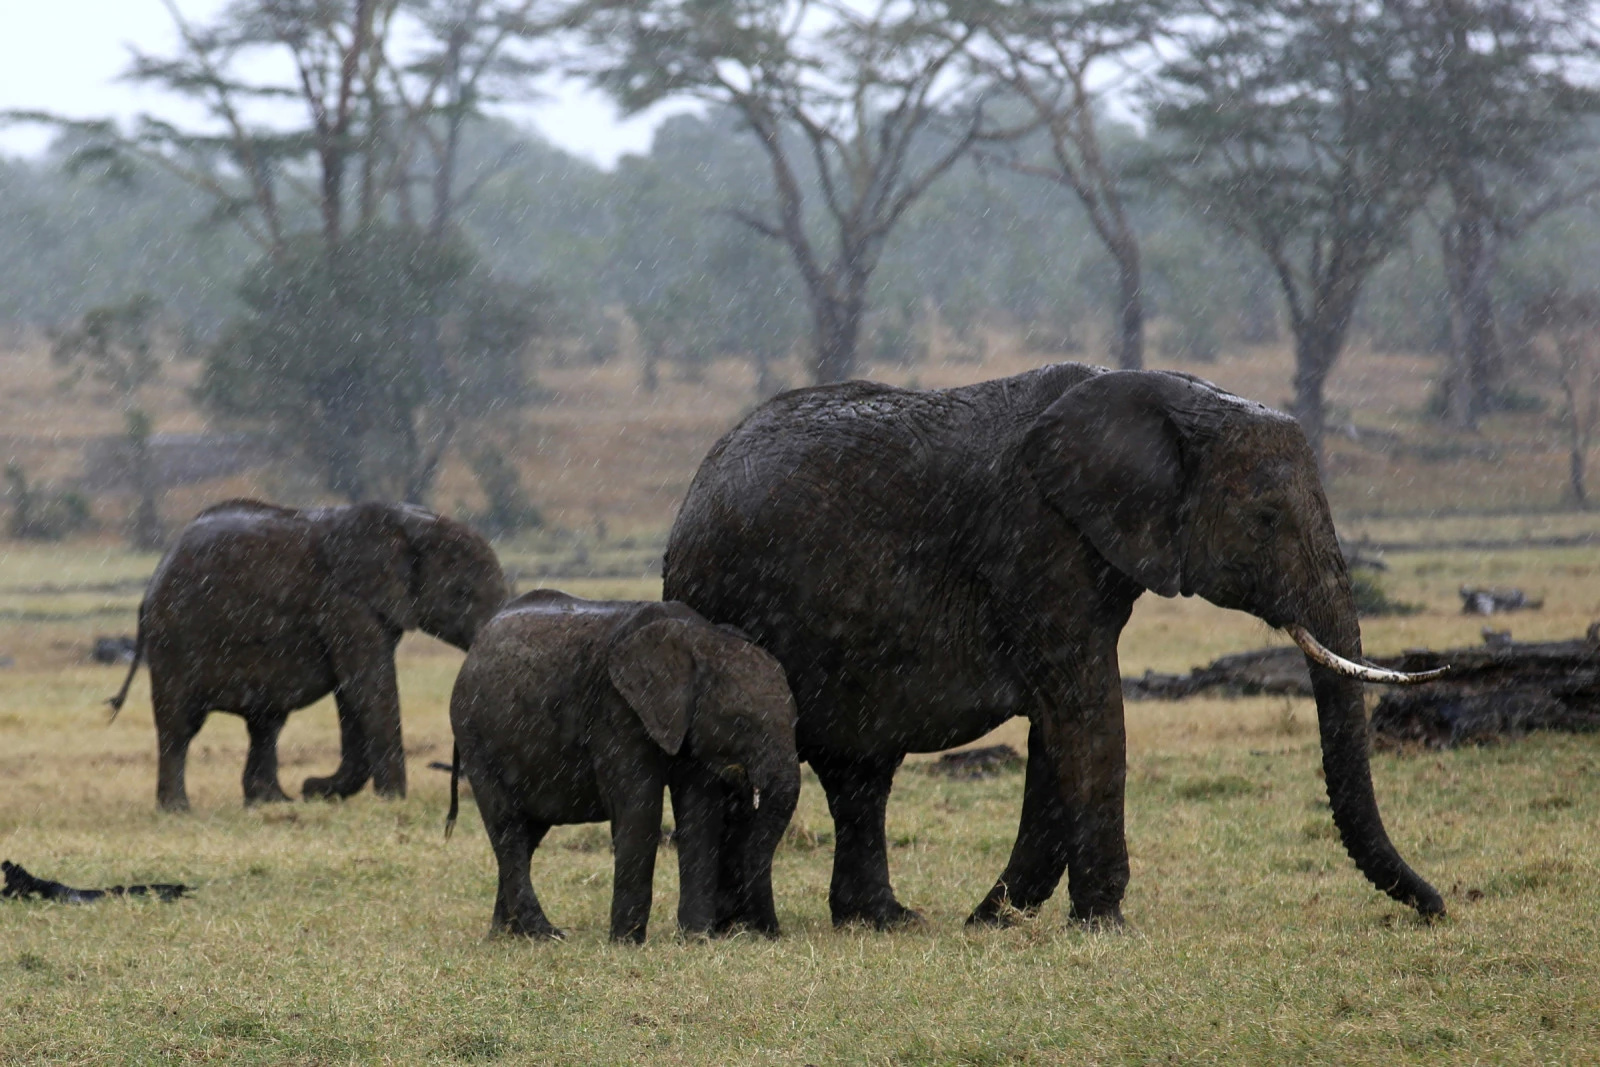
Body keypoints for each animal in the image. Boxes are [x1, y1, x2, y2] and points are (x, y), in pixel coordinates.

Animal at [109, 502, 505, 809]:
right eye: (461, 593)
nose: (310, 786)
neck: (409, 520)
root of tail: (151, 584)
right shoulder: (345, 604)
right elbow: (368, 686)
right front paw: (390, 800)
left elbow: (353, 692)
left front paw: (319, 790)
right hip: (173, 642)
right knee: (180, 725)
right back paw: (179, 809)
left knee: (266, 723)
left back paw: (273, 802)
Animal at [448, 591, 800, 940]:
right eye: (741, 722)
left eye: (795, 721)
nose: (772, 933)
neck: (699, 637)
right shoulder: (616, 709)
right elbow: (640, 807)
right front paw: (627, 942)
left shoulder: (690, 728)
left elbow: (700, 812)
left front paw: (696, 939)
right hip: (474, 736)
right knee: (506, 826)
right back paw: (546, 935)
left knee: (528, 834)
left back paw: (507, 935)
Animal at [662, 364, 1452, 927]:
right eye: (1263, 518)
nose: (1440, 907)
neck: (1162, 394)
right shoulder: (1035, 544)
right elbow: (1087, 712)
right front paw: (1102, 924)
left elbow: (1058, 727)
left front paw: (995, 919)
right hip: (728, 600)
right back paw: (741, 927)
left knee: (861, 775)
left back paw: (886, 921)